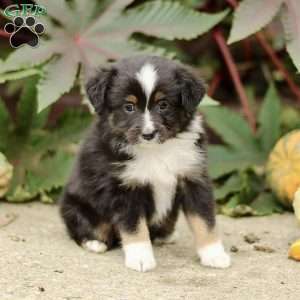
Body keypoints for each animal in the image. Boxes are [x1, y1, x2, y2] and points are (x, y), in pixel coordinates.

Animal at [59, 54, 231, 272]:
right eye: (129, 107)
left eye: (163, 104)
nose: (148, 134)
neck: (156, 150)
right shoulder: (125, 186)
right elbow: (134, 227)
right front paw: (140, 258)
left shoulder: (193, 177)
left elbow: (205, 220)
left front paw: (214, 254)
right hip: (76, 206)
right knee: (84, 229)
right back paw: (94, 243)